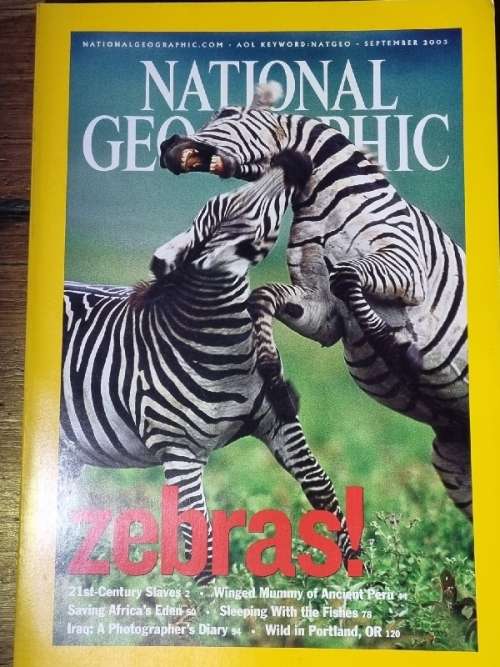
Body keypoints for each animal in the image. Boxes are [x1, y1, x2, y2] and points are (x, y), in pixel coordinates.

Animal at [59, 151, 356, 581]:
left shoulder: (277, 420)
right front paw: (208, 599)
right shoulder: (179, 451)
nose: (293, 158)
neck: (224, 348)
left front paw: (357, 571)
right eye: (240, 221)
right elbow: (197, 531)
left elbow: (320, 486)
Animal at [159, 83, 471, 520]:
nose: (168, 147)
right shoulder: (321, 311)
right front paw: (273, 375)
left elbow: (347, 277)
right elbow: (263, 299)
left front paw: (396, 349)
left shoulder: (406, 266)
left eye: (227, 113)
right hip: (453, 459)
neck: (324, 200)